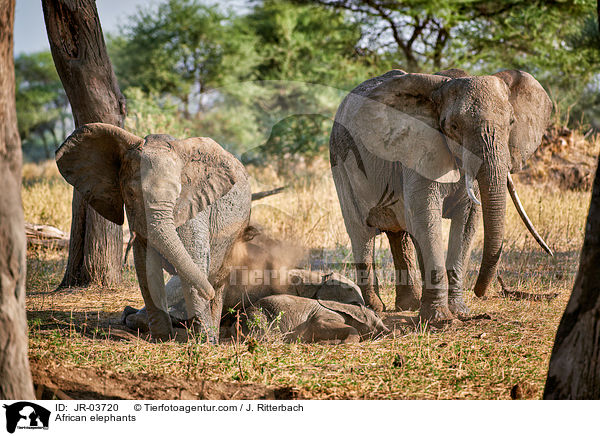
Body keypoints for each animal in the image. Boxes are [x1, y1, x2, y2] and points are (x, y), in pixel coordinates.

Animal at [56, 122, 251, 340]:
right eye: (131, 194)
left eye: (178, 194)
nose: (207, 293)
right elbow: (145, 266)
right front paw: (162, 337)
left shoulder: (194, 207)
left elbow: (197, 262)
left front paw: (203, 341)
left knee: (217, 275)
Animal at [332, 69, 552, 324]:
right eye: (453, 126)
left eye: (511, 123)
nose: (480, 291)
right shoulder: (418, 150)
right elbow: (426, 215)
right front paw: (441, 320)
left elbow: (467, 221)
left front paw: (459, 311)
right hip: (341, 164)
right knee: (362, 232)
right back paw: (374, 307)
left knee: (401, 234)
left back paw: (409, 304)